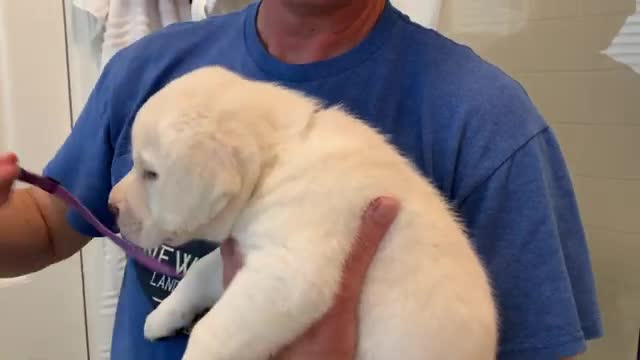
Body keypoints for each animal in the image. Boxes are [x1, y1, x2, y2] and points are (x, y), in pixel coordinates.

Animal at [109, 65, 496, 360]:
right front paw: (162, 317)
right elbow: (199, 272)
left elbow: (210, 332)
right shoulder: (248, 254)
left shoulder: (286, 276)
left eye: (151, 173)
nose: (111, 206)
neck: (276, 156)